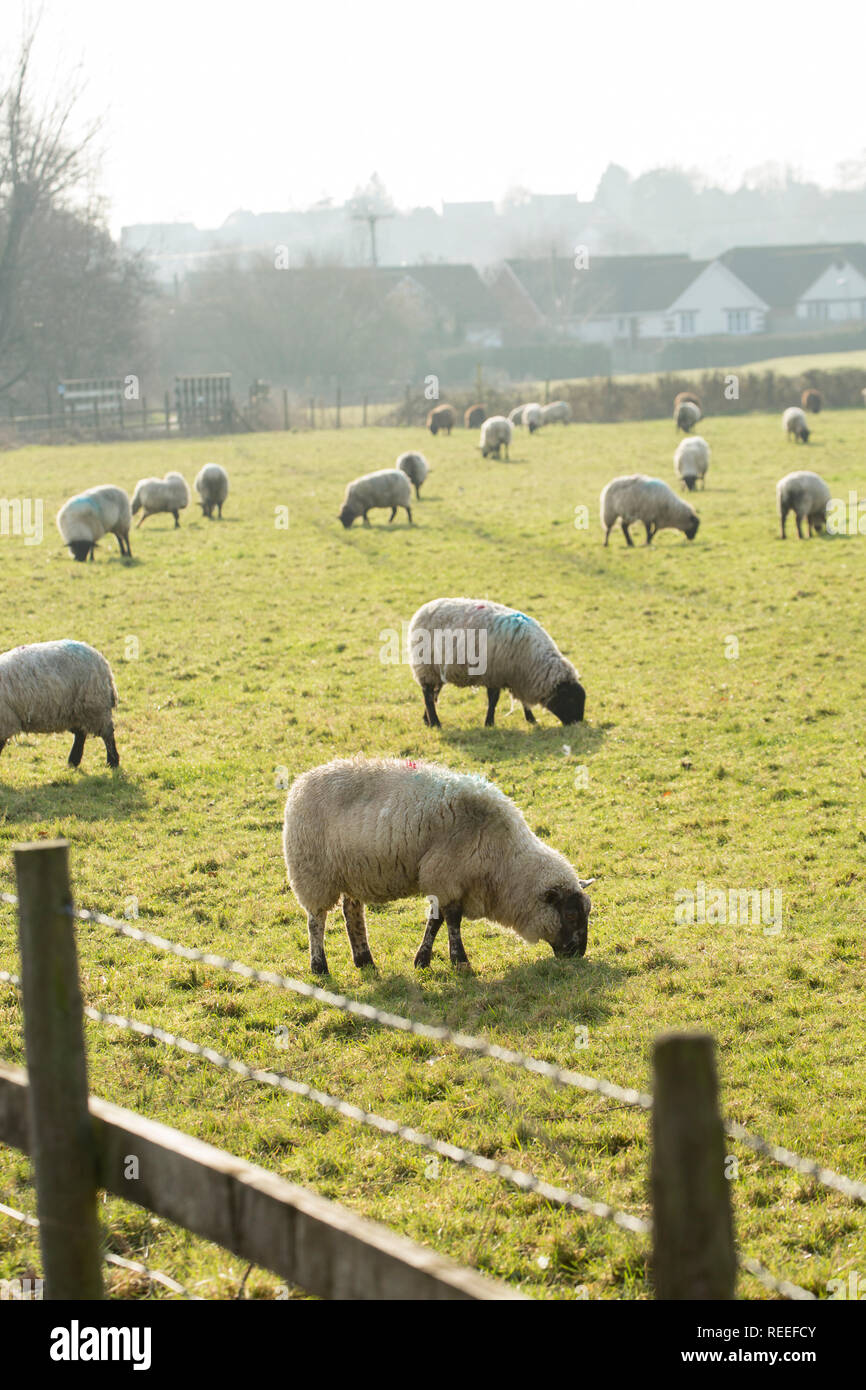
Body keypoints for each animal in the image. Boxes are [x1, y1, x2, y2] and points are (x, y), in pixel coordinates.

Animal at [0, 642, 120, 772]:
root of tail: (101, 660)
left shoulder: (4, 724)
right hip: (75, 710)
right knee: (81, 734)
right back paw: (73, 761)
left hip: (94, 706)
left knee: (107, 734)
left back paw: (112, 762)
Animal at [280, 756, 592, 973]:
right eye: (570, 915)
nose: (579, 954)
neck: (505, 861)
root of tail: (301, 783)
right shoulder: (445, 876)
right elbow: (448, 921)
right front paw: (457, 961)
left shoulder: (453, 881)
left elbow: (440, 920)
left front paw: (426, 960)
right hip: (312, 872)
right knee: (316, 920)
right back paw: (319, 966)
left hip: (351, 871)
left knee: (351, 912)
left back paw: (364, 959)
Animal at [408, 594, 586, 733]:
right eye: (570, 699)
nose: (578, 724)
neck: (534, 663)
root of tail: (423, 609)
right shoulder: (495, 674)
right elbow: (494, 699)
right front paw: (489, 723)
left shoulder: (518, 678)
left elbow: (522, 701)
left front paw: (531, 719)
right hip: (426, 666)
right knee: (428, 695)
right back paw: (435, 723)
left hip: (436, 671)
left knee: (433, 694)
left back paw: (427, 720)